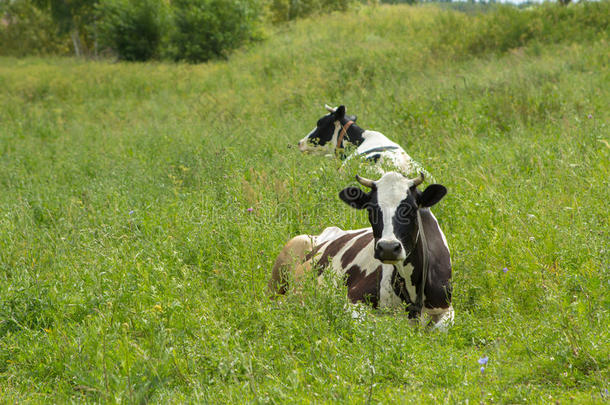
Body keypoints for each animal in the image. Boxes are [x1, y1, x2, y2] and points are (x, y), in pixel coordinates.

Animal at [268, 170, 452, 328]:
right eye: (371, 209)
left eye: (412, 208)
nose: (388, 248)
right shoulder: (353, 300)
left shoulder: (446, 308)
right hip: (281, 272)